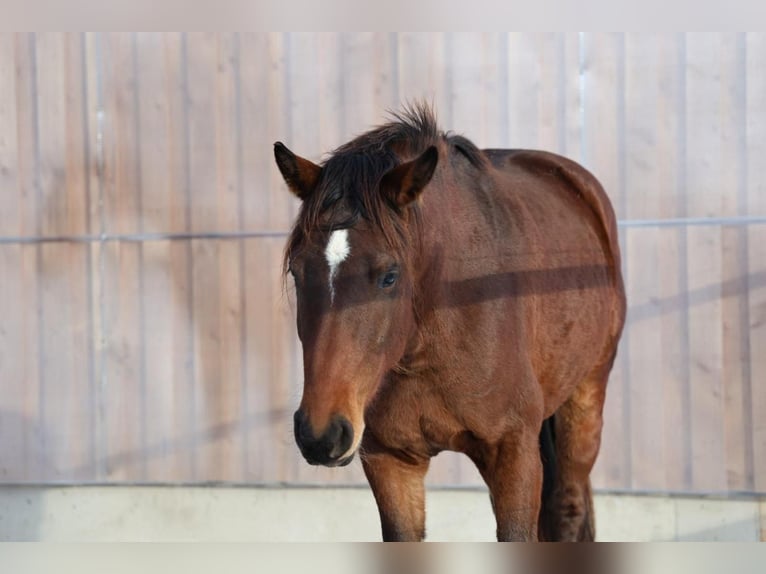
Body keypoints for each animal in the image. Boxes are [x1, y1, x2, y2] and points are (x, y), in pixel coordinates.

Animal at [272, 104, 628, 544]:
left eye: (390, 276)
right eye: (297, 272)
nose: (321, 434)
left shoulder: (514, 453)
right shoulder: (391, 461)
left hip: (585, 401)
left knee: (568, 507)